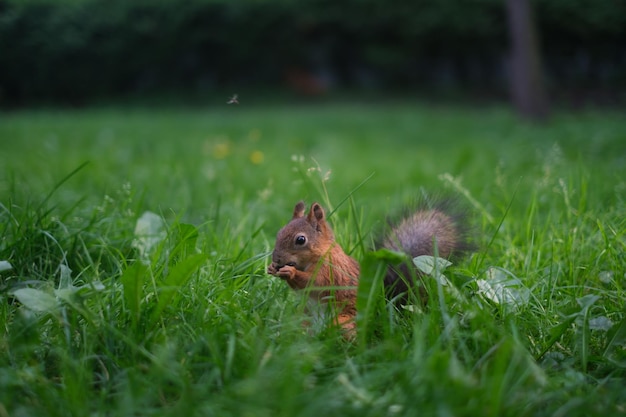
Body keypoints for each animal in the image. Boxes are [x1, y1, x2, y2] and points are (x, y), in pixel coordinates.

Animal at [266, 197, 470, 334]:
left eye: (300, 240)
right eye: (279, 232)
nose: (277, 259)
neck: (320, 254)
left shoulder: (331, 270)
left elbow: (315, 283)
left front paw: (290, 272)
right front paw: (272, 269)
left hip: (345, 321)